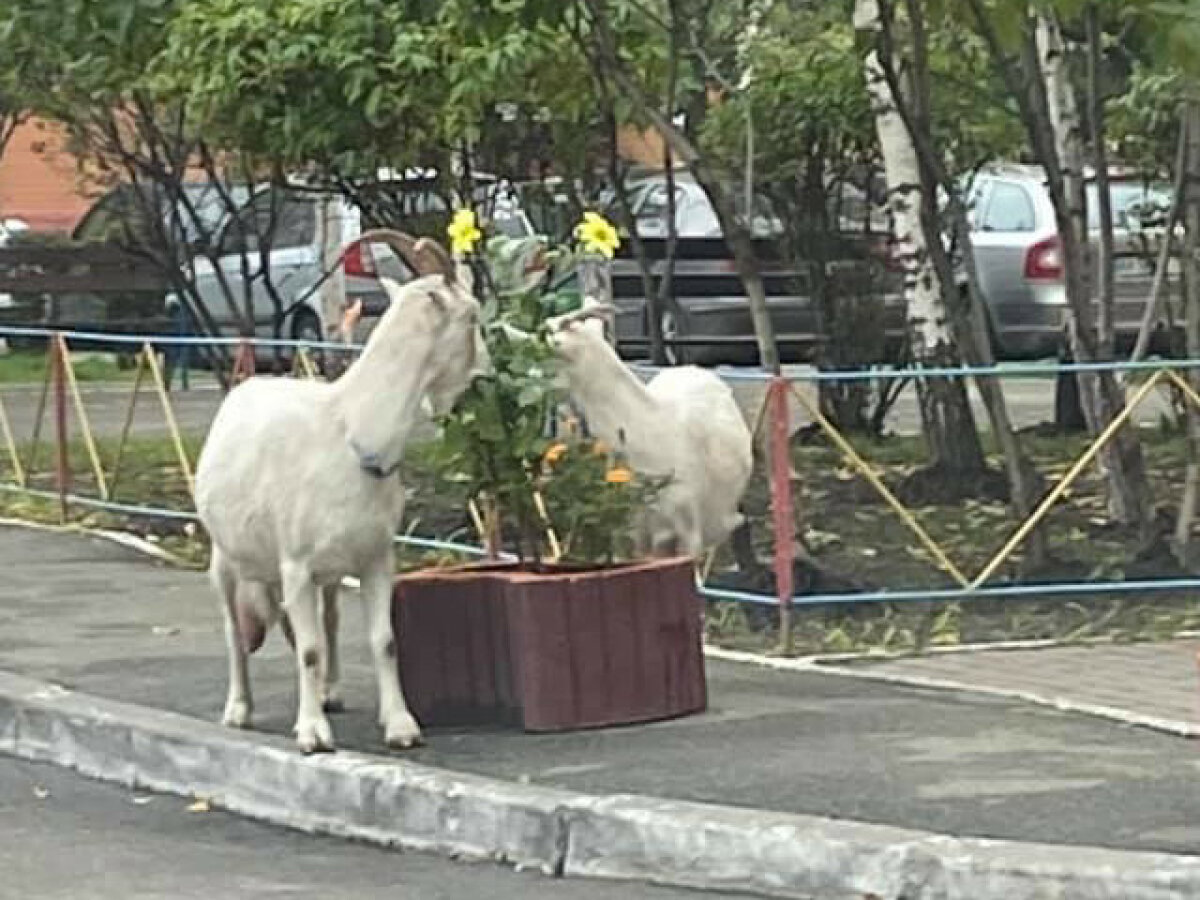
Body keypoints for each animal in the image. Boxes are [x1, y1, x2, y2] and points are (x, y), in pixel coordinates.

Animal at [196, 232, 482, 753]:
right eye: (472, 316)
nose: (480, 380)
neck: (350, 429)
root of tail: (246, 387)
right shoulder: (296, 565)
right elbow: (308, 650)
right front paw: (312, 734)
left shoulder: (375, 558)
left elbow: (383, 640)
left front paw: (400, 726)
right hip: (226, 557)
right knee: (233, 628)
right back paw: (239, 709)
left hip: (326, 572)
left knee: (327, 620)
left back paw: (330, 692)